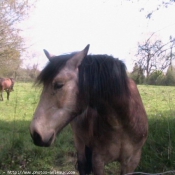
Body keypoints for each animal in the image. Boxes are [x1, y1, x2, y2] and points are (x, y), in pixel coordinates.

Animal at [29, 44, 148, 174]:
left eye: (59, 84)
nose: (36, 134)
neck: (121, 125)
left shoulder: (131, 162)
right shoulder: (98, 161)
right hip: (79, 141)